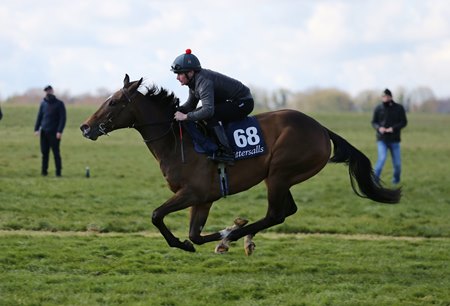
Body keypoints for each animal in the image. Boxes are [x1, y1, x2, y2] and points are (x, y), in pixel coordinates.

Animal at [80, 75, 400, 255]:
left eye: (113, 102)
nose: (85, 127)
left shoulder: (194, 193)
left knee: (275, 214)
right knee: (286, 211)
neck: (175, 140)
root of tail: (321, 128)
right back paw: (241, 237)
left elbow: (157, 216)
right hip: (281, 177)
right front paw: (209, 238)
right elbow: (194, 234)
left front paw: (220, 235)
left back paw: (233, 237)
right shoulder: (204, 198)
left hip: (280, 172)